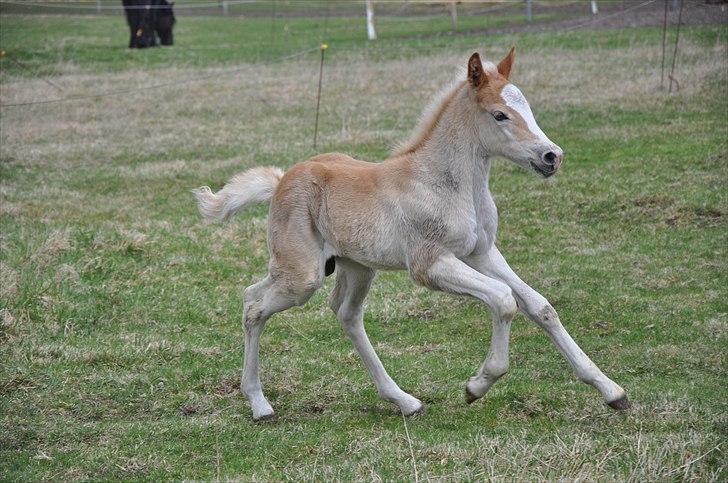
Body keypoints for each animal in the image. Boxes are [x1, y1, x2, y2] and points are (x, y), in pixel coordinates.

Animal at [196, 49, 628, 420]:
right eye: (500, 115)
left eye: (529, 109)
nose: (552, 157)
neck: (448, 184)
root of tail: (282, 179)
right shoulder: (429, 265)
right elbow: (504, 300)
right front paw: (476, 386)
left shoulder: (482, 253)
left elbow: (540, 306)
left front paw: (612, 391)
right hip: (302, 275)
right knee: (255, 306)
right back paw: (260, 405)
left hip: (354, 267)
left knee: (336, 312)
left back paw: (405, 401)